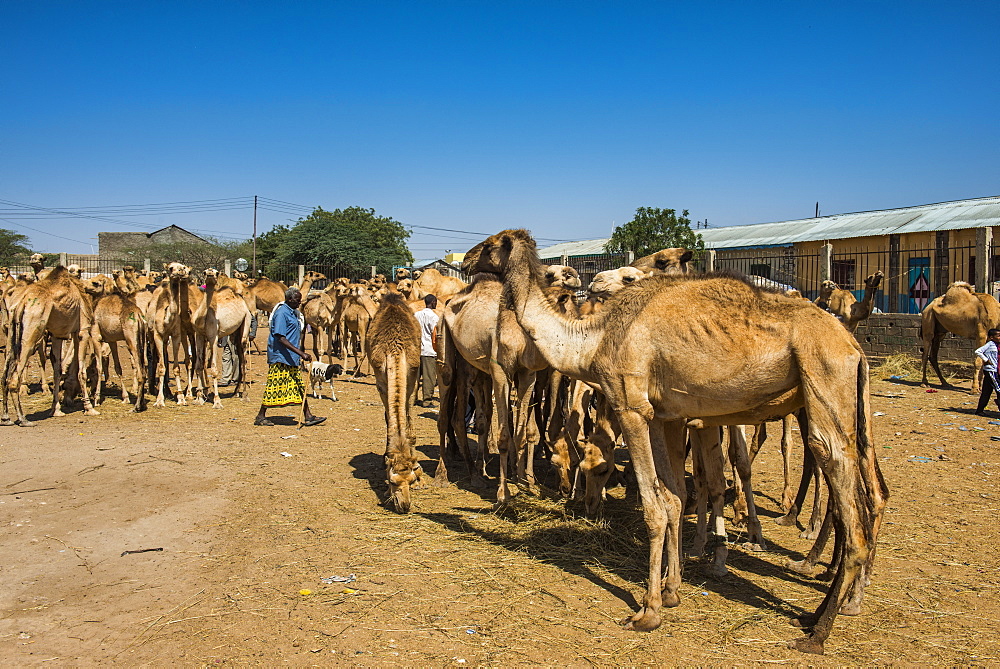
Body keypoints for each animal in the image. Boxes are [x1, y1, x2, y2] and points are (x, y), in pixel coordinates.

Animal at [2, 264, 100, 426]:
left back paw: (6, 418)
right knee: (13, 378)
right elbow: (81, 371)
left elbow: (57, 371)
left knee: (5, 374)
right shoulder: (83, 330)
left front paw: (56, 410)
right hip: (33, 328)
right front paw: (89, 408)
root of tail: (22, 303)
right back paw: (23, 419)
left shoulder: (57, 335)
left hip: (12, 332)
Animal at [366, 290, 424, 512]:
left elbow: (407, 418)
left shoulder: (413, 375)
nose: (404, 505)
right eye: (392, 482)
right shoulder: (380, 381)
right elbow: (389, 418)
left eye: (411, 480)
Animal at [468, 228, 892, 652]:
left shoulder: (631, 407)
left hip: (824, 382)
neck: (592, 340)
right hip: (847, 402)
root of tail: (854, 347)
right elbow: (673, 499)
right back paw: (818, 610)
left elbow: (655, 507)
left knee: (839, 485)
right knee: (870, 491)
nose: (469, 260)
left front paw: (649, 611)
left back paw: (818, 630)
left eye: (489, 245)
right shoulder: (663, 416)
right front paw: (672, 591)